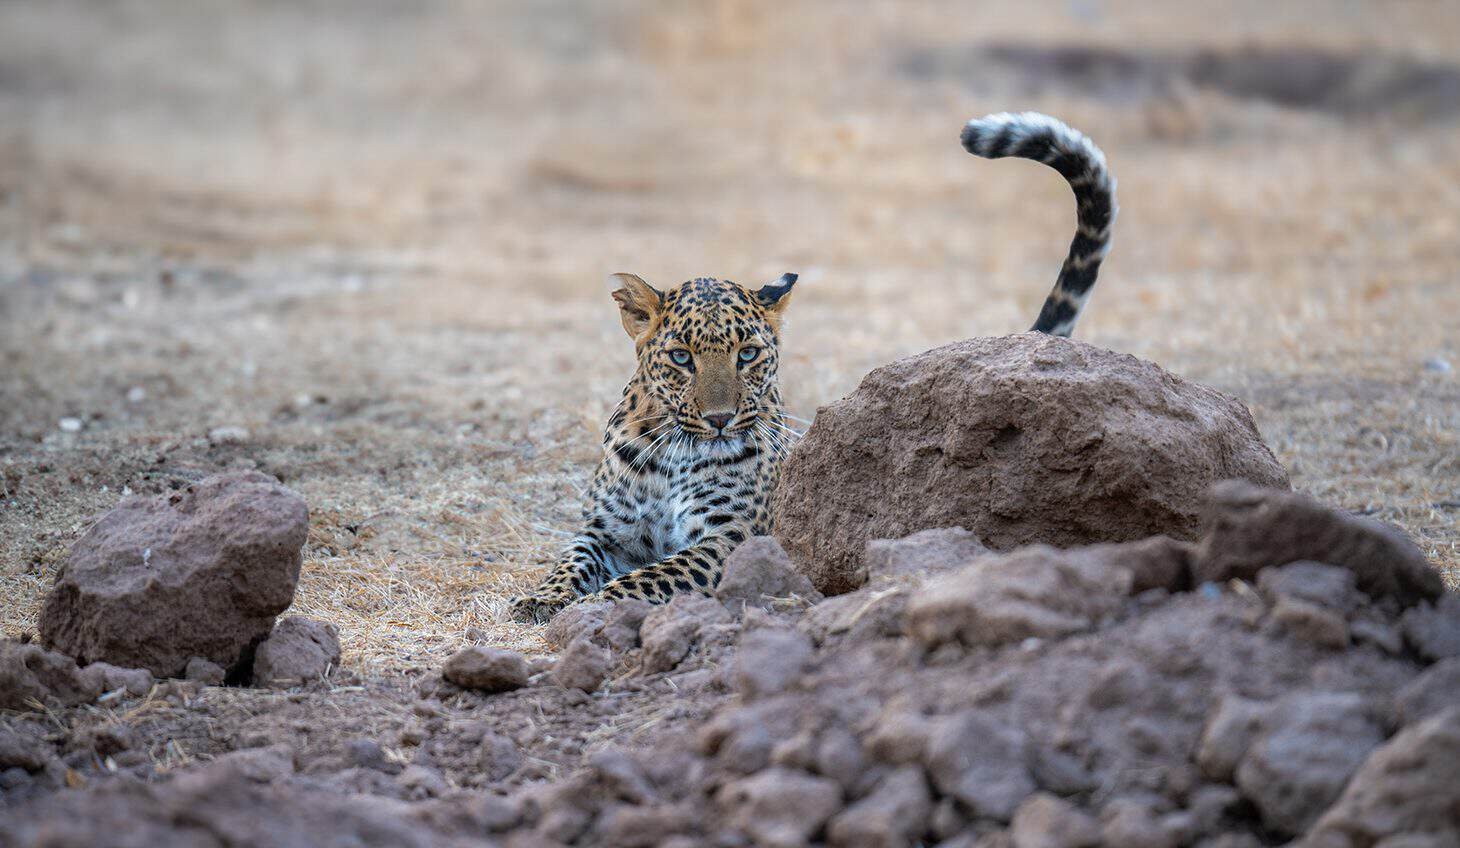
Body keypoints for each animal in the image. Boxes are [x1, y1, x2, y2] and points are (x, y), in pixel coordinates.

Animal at [508, 110, 1116, 623]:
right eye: (681, 357)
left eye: (747, 354)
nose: (721, 420)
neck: (672, 456)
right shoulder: (606, 533)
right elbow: (570, 559)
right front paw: (540, 600)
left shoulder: (729, 540)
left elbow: (652, 575)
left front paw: (594, 608)